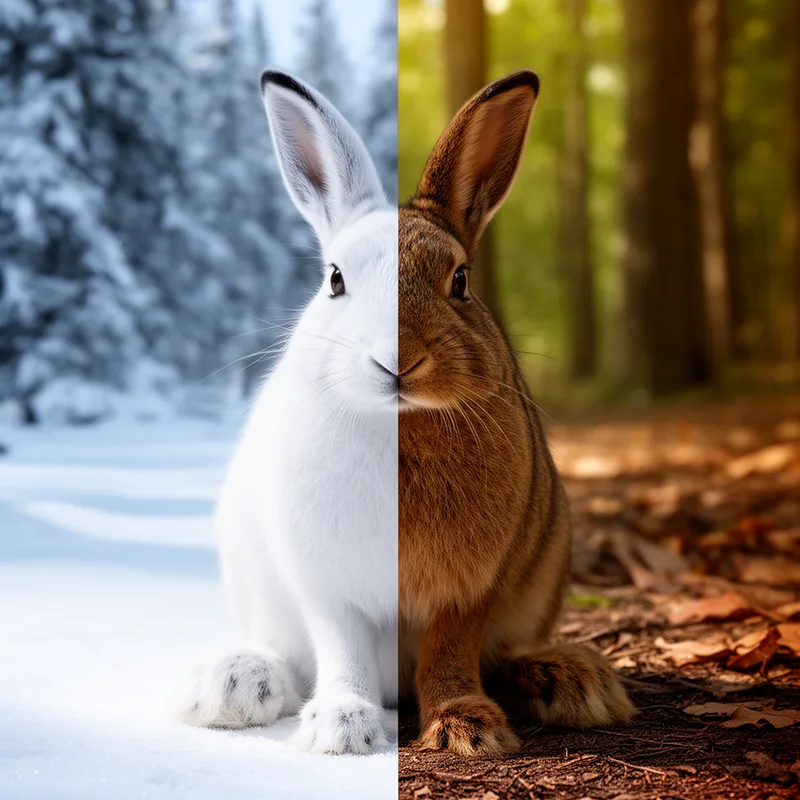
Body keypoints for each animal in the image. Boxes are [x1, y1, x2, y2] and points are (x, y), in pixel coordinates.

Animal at [174, 71, 398, 755]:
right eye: (335, 280)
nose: (392, 359)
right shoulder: (325, 584)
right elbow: (343, 646)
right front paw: (345, 728)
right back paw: (232, 686)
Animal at [397, 69, 635, 756]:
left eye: (460, 280)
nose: (401, 356)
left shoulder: (469, 588)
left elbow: (449, 651)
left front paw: (465, 728)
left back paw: (572, 681)